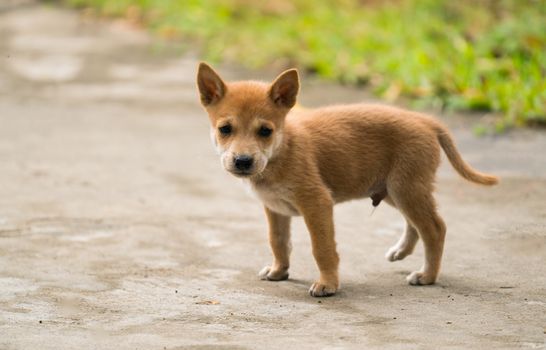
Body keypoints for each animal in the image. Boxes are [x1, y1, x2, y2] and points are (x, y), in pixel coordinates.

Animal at [196, 62, 498, 296]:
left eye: (265, 131)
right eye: (225, 129)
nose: (243, 161)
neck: (281, 151)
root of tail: (424, 120)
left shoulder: (317, 203)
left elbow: (322, 248)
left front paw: (327, 284)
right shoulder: (274, 209)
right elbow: (278, 242)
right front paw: (279, 271)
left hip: (406, 188)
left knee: (435, 228)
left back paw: (427, 276)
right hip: (395, 190)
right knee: (416, 224)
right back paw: (401, 252)